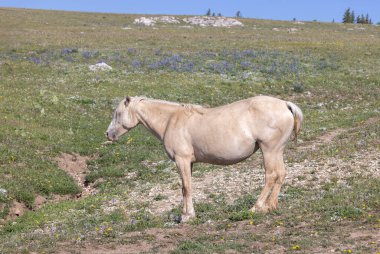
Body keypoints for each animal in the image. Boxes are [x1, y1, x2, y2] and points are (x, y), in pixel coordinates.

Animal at [106, 95, 302, 222]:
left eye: (118, 114)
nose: (108, 134)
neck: (171, 120)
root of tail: (285, 104)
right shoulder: (188, 163)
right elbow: (184, 188)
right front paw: (184, 213)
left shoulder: (182, 160)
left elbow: (187, 187)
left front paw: (187, 216)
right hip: (277, 151)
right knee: (281, 174)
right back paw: (271, 205)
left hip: (269, 150)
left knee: (271, 176)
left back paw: (257, 207)